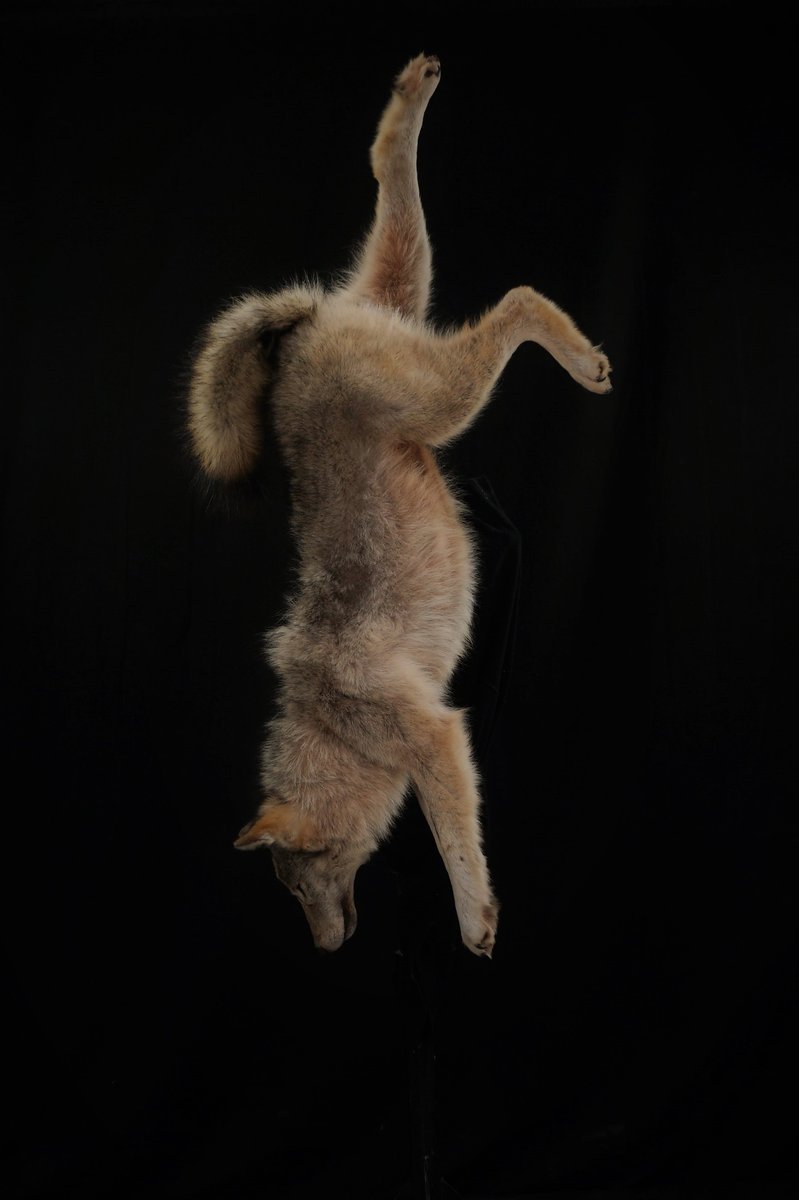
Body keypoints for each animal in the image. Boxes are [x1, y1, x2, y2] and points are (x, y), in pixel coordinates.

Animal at [185, 53, 611, 956]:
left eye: (299, 883)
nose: (322, 949)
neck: (333, 721)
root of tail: (311, 324)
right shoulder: (433, 747)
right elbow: (448, 826)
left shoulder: (439, 737)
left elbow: (455, 842)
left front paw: (475, 916)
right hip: (407, 299)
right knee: (390, 179)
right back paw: (408, 105)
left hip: (441, 396)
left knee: (517, 298)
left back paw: (581, 359)